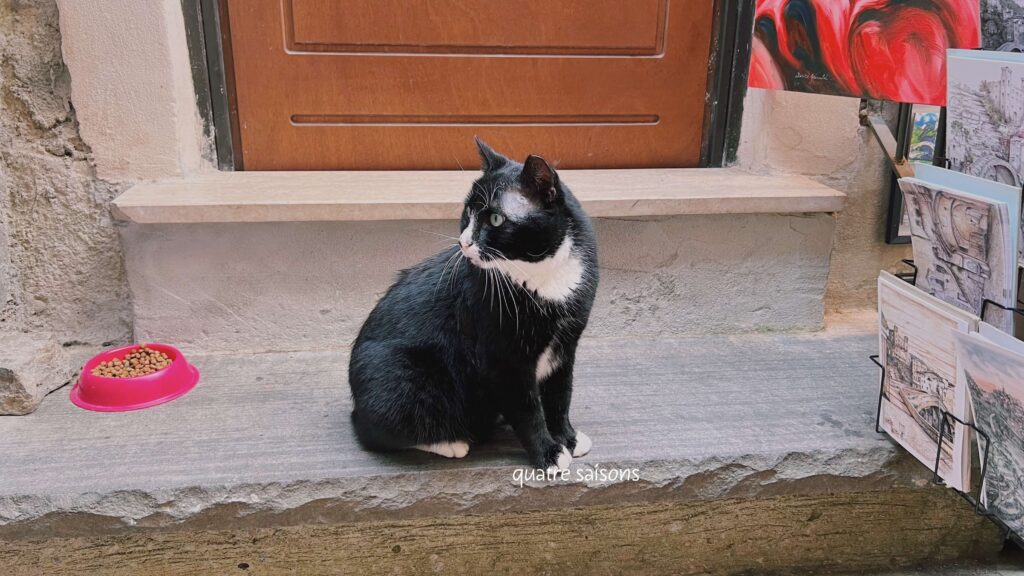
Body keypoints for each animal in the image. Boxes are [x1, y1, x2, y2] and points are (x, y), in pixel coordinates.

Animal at [348, 139, 598, 471]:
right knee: (373, 432)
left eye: (495, 219)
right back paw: (450, 441)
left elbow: (560, 395)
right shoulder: (503, 358)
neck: (541, 275)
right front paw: (548, 453)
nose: (463, 243)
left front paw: (567, 438)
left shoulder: (566, 346)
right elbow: (528, 411)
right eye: (468, 211)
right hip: (408, 377)